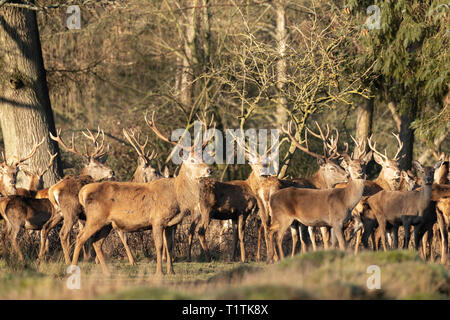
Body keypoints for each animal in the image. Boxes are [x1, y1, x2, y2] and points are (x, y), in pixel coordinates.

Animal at [71, 113, 215, 276]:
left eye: (204, 158)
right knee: (80, 238)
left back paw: (107, 273)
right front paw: (159, 272)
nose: (209, 170)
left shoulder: (171, 224)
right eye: (192, 160)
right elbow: (159, 246)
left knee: (96, 243)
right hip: (95, 218)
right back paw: (73, 268)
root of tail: (83, 191)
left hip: (106, 224)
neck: (177, 197)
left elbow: (170, 247)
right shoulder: (157, 219)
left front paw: (171, 271)